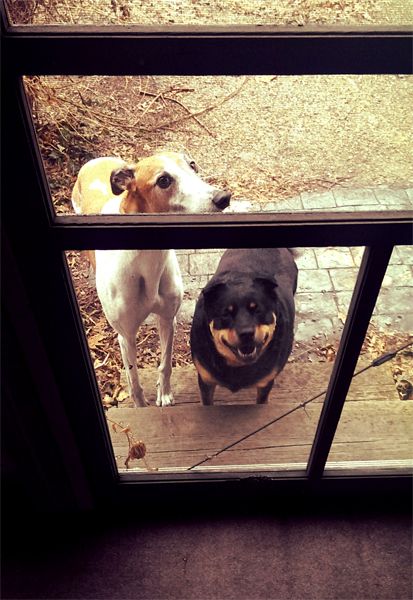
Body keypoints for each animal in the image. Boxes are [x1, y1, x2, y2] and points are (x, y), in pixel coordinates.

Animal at [72, 152, 230, 408]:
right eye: (163, 180)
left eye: (192, 165)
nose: (223, 197)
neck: (146, 261)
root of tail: (96, 160)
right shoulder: (125, 336)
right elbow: (133, 378)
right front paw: (140, 406)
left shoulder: (167, 318)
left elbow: (165, 363)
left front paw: (164, 395)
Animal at [190, 246, 296, 406]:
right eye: (226, 313)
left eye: (257, 309)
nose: (246, 333)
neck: (237, 365)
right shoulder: (205, 380)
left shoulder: (266, 382)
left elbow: (261, 400)